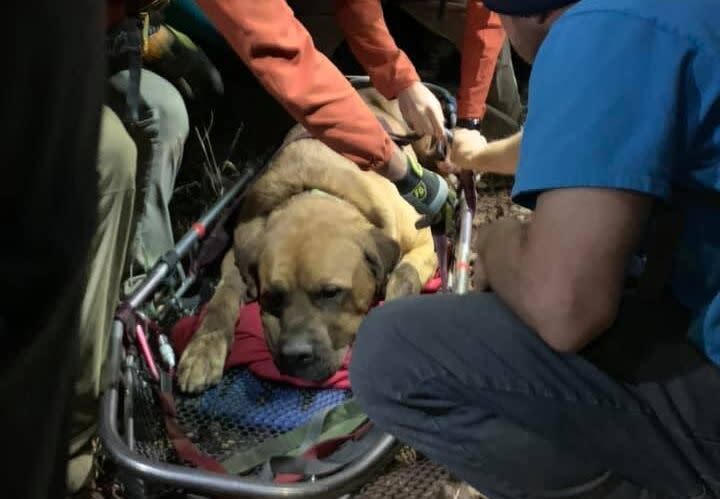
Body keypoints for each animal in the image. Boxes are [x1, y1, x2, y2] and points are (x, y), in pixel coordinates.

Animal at [180, 91, 438, 394]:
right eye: (273, 296)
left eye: (331, 292)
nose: (295, 355)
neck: (313, 191)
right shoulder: (237, 252)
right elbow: (222, 298)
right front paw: (204, 346)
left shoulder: (422, 242)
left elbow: (404, 275)